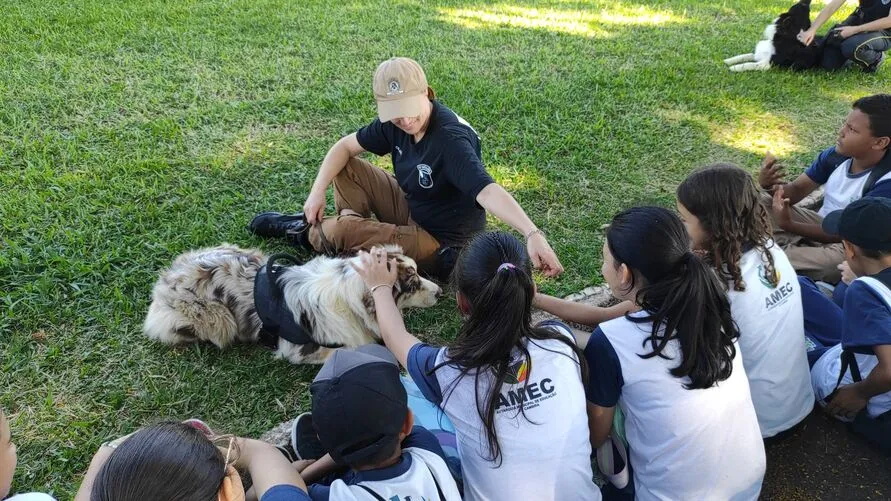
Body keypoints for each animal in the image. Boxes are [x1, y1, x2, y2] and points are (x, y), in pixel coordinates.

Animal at [144, 244, 446, 362]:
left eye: (418, 272)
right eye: (413, 285)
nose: (440, 292)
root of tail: (164, 281)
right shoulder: (299, 349)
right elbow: (350, 350)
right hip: (215, 318)